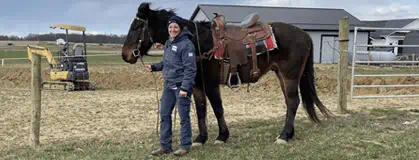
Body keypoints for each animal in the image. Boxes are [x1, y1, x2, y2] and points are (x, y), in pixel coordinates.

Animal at [121, 2, 332, 145]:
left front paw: (222, 136)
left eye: (137, 27)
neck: (199, 42)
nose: (125, 55)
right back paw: (289, 133)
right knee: (290, 102)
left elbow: (217, 109)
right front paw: (200, 138)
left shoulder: (211, 85)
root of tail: (304, 35)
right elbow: (201, 110)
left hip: (290, 76)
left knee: (293, 102)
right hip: (282, 75)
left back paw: (284, 135)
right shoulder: (197, 85)